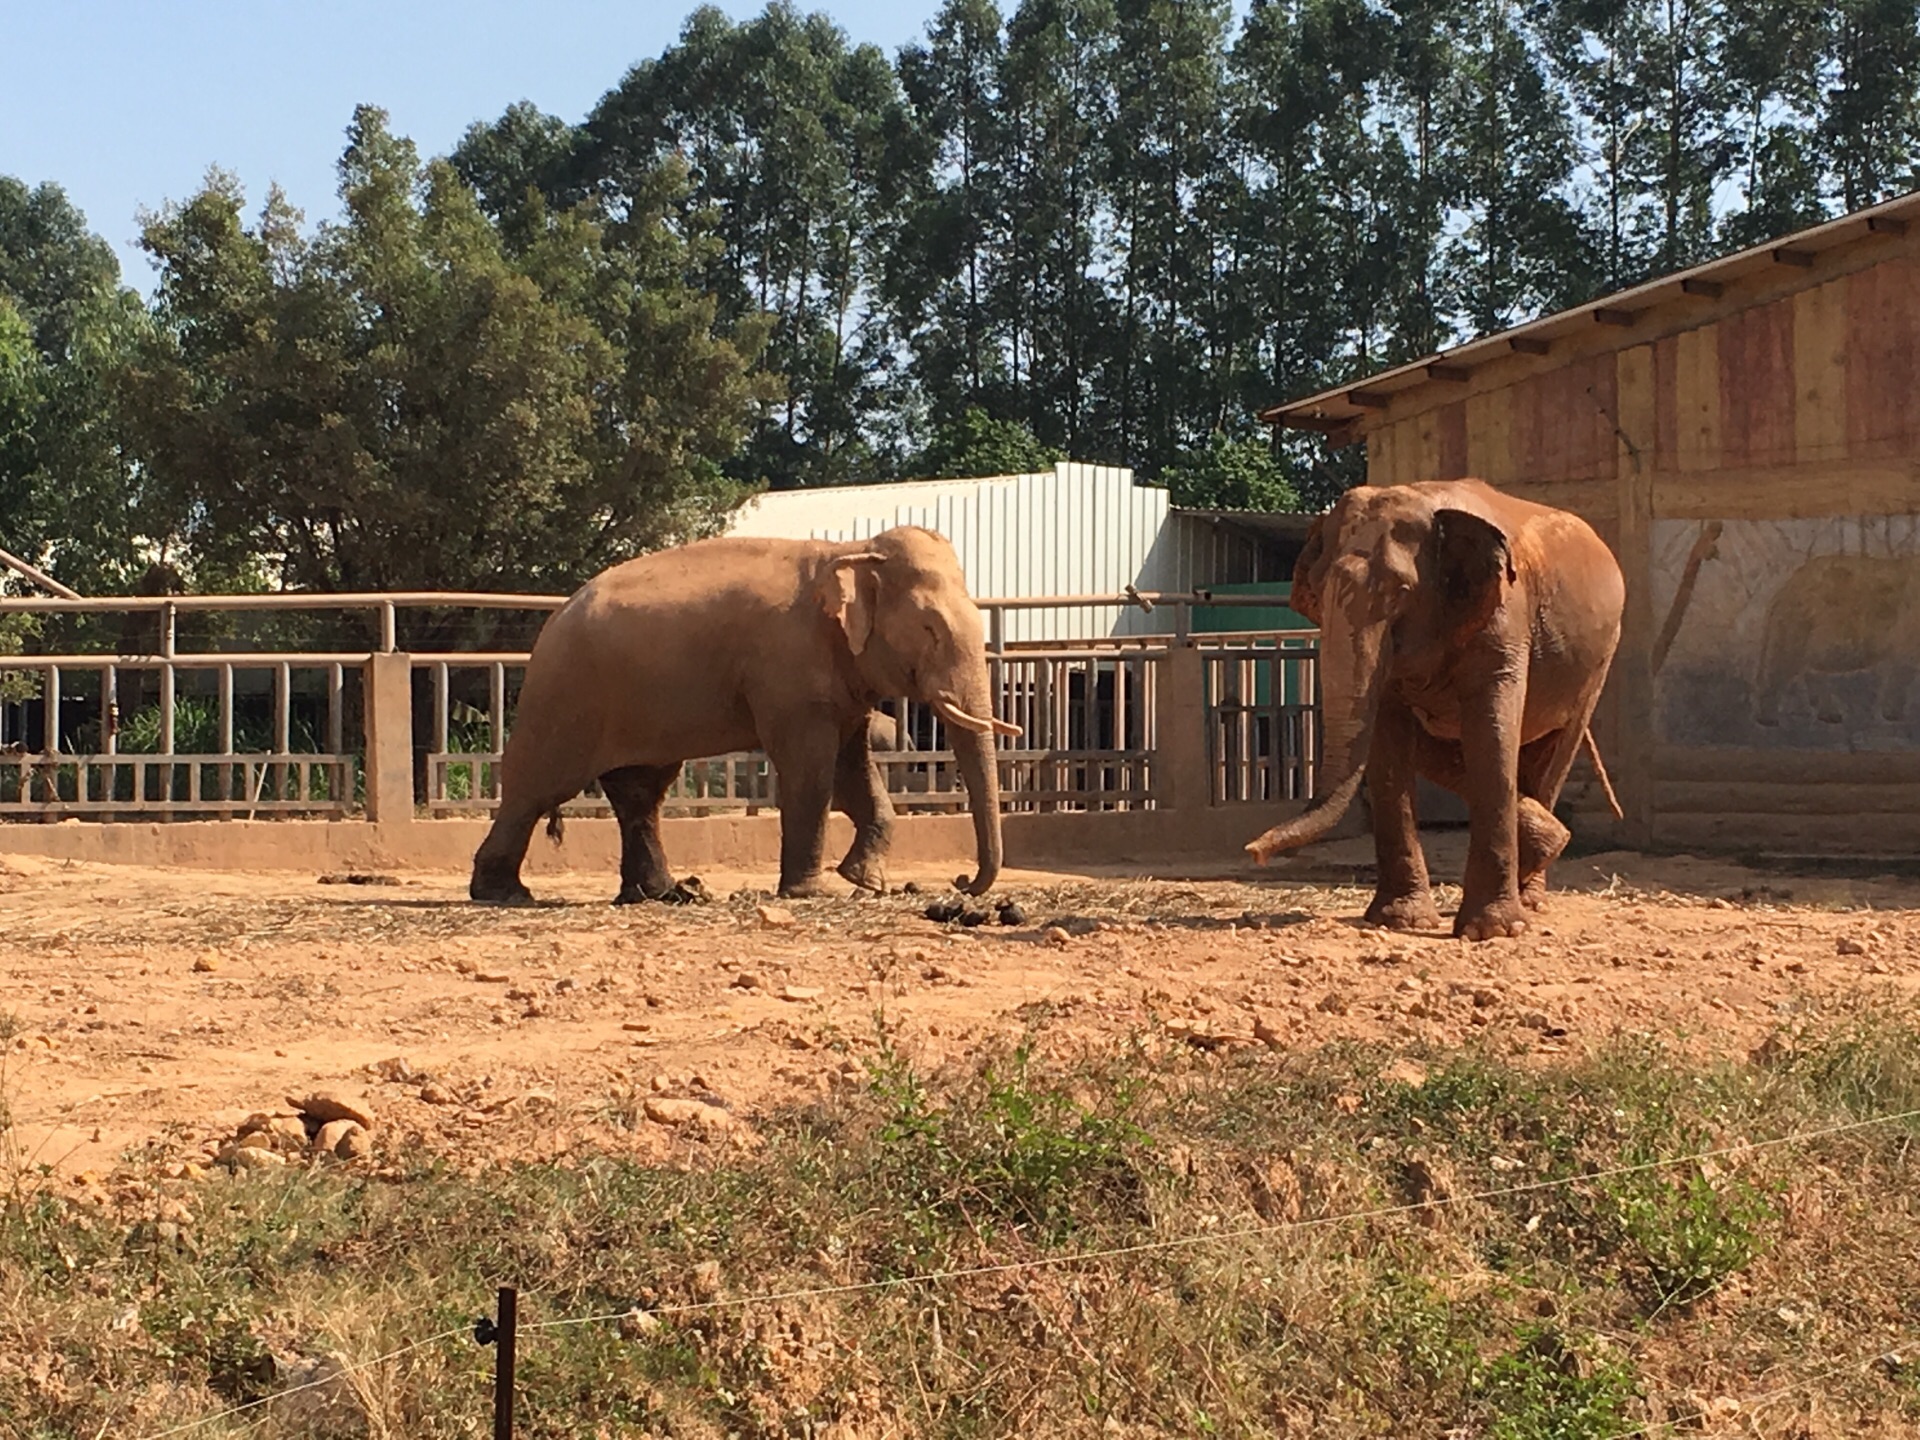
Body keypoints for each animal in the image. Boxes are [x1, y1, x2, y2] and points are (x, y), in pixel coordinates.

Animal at [468, 526, 1021, 906]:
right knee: (538, 787)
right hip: (566, 695)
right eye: (930, 629)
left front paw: (864, 881)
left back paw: (663, 894)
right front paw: (812, 892)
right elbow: (810, 771)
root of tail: (553, 620)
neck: (847, 551)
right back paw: (504, 893)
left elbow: (852, 770)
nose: (962, 882)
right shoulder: (788, 672)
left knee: (640, 791)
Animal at [1236, 480, 1628, 940]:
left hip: (1598, 662)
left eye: (1400, 594)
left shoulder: (1504, 617)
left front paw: (1491, 932)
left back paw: (1534, 894)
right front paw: (1399, 920)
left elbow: (1489, 733)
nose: (1253, 851)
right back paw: (1543, 852)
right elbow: (1389, 742)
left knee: (1553, 755)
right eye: (1316, 590)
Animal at [1758, 556, 1920, 733]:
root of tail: (1783, 590)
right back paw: (1769, 720)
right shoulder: (1907, 626)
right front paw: (1894, 716)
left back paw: (1829, 715)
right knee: (1784, 664)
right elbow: (1904, 666)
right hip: (1797, 624)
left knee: (1810, 669)